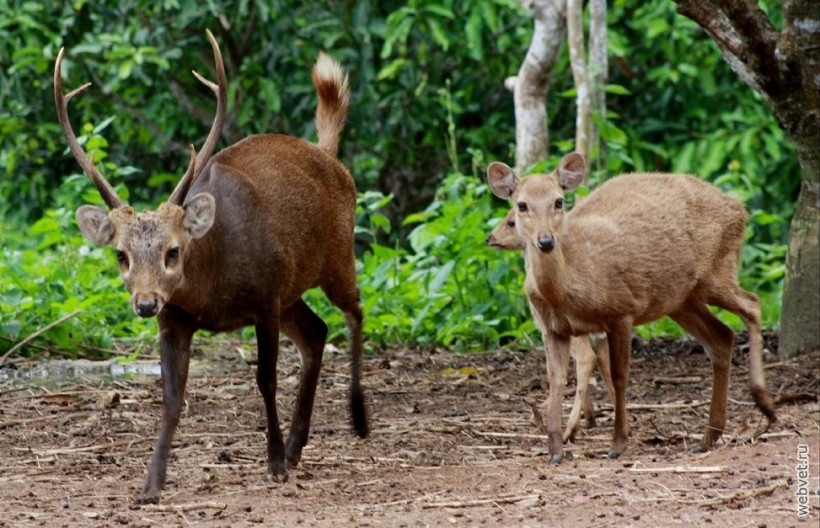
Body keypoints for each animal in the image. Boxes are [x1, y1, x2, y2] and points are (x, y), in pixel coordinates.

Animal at [52, 29, 366, 504]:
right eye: (121, 254)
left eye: (173, 251)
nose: (145, 303)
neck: (212, 292)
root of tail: (328, 155)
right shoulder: (176, 320)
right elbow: (171, 397)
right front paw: (150, 484)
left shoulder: (264, 299)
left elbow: (265, 380)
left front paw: (273, 464)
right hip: (292, 289)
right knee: (317, 332)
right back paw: (298, 446)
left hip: (336, 256)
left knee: (355, 312)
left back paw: (357, 420)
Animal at [484, 210, 612, 442]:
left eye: (511, 222)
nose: (490, 238)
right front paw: (591, 417)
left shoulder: (545, 329)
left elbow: (552, 368)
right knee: (604, 358)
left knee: (587, 357)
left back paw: (570, 429)